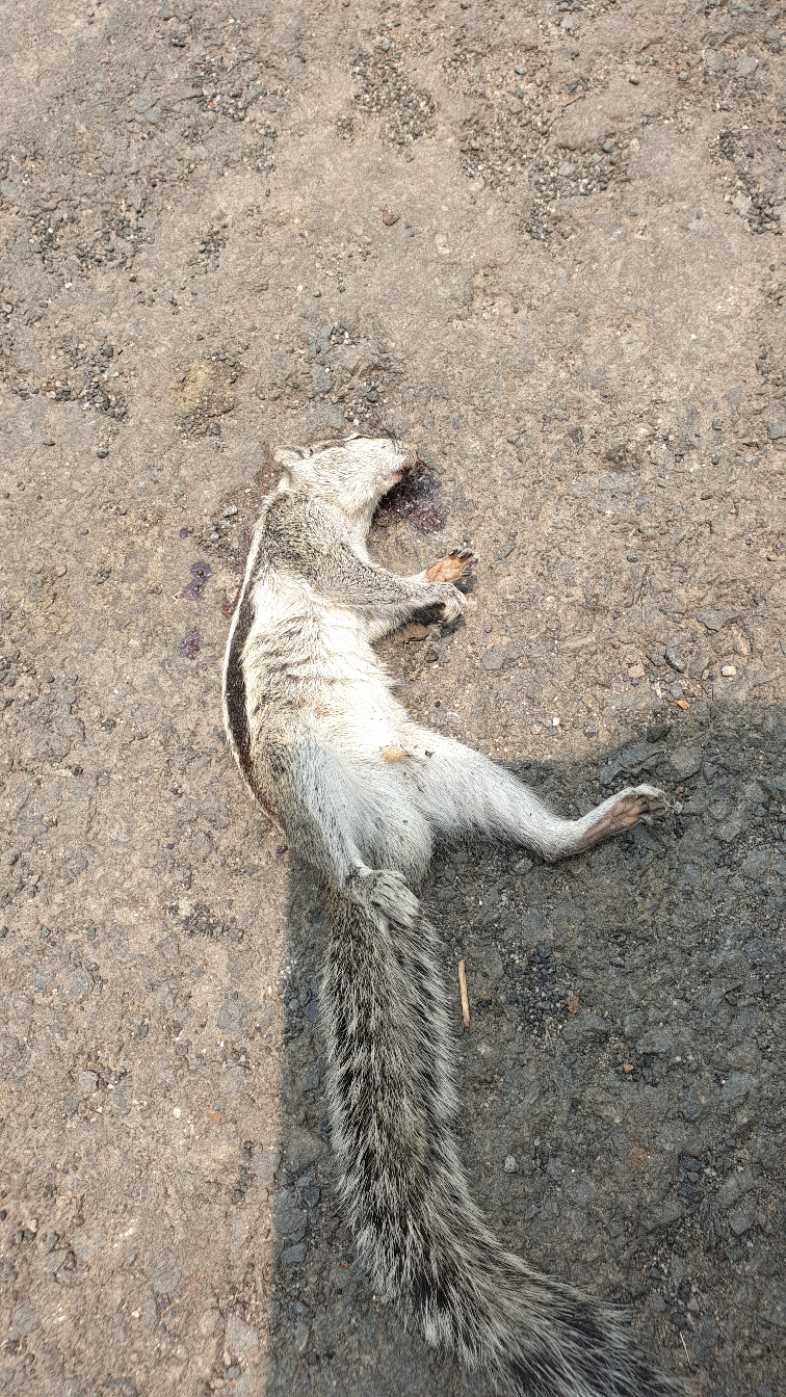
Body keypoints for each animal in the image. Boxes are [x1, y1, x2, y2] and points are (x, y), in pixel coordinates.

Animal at [222, 433, 682, 1397]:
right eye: (346, 439)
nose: (403, 450)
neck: (326, 511)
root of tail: (393, 845)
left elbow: (381, 616)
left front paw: (445, 567)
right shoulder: (310, 553)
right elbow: (370, 590)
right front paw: (433, 583)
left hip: (449, 767)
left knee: (539, 838)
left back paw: (593, 824)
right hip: (308, 785)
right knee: (345, 865)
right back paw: (370, 889)